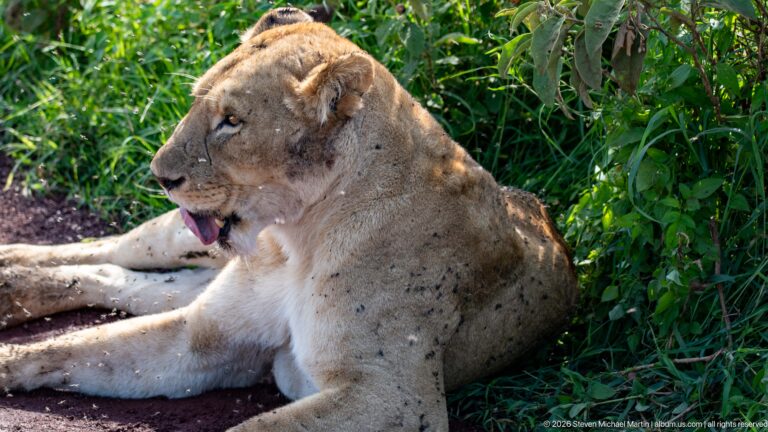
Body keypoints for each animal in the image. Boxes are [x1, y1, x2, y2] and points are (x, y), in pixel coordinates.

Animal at [0, 7, 578, 431]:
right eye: (196, 101)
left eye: (232, 121)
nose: (159, 175)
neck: (294, 238)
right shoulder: (202, 335)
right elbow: (70, 346)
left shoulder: (397, 397)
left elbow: (250, 427)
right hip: (176, 239)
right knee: (111, 250)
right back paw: (13, 266)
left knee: (126, 282)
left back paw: (12, 287)